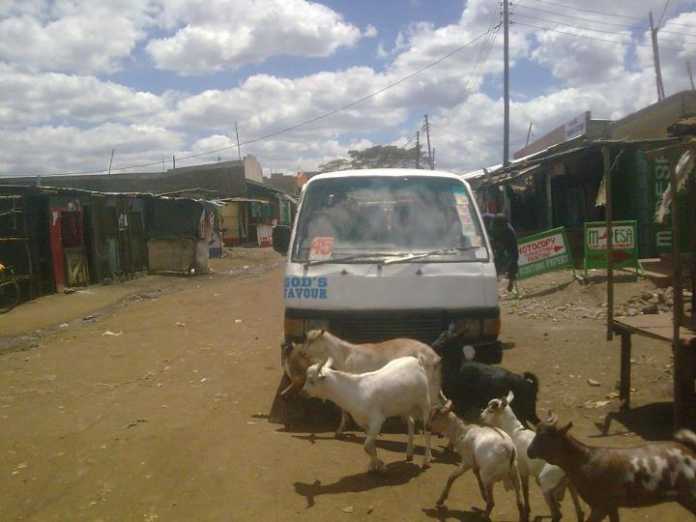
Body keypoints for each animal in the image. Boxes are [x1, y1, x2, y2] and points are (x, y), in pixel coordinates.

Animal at [286, 330, 444, 434]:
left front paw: (341, 429)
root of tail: (436, 357)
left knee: (433, 407)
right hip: (433, 385)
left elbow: (343, 407)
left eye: (311, 340)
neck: (345, 355)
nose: (301, 352)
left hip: (429, 386)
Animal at [302, 354, 432, 472]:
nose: (302, 392)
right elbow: (371, 446)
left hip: (425, 402)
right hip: (405, 407)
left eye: (311, 380)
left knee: (427, 429)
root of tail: (416, 361)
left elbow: (366, 446)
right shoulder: (363, 423)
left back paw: (426, 460)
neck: (355, 391)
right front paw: (374, 465)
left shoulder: (377, 420)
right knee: (411, 423)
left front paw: (381, 466)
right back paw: (409, 453)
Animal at [482, 390, 584, 520]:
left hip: (546, 483)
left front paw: (527, 510)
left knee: (557, 514)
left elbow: (525, 490)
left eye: (491, 410)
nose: (481, 417)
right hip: (570, 484)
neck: (515, 432)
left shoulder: (523, 470)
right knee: (579, 511)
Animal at [528, 410, 696, 520]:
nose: (529, 451)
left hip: (690, 495)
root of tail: (690, 453)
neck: (585, 460)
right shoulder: (611, 506)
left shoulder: (600, 507)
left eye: (545, 435)